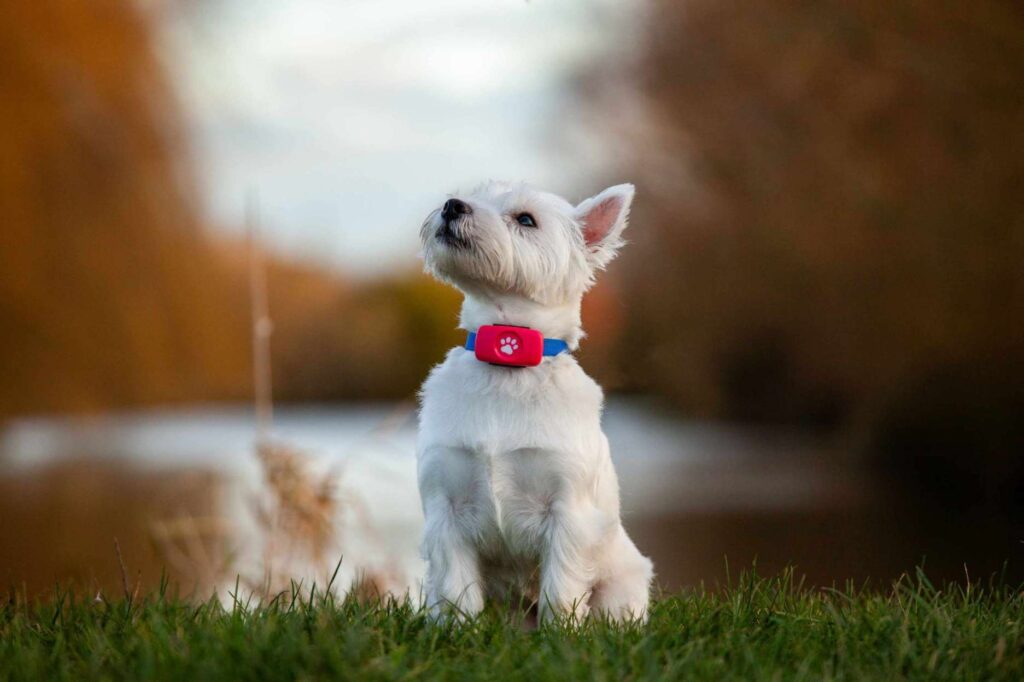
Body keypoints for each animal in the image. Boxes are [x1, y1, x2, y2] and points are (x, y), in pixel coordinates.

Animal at [413, 180, 647, 622]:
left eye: (526, 219)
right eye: (472, 194)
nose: (452, 206)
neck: (508, 362)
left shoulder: (567, 513)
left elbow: (561, 590)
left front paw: (562, 634)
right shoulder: (446, 508)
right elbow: (457, 591)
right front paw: (458, 631)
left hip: (622, 585)